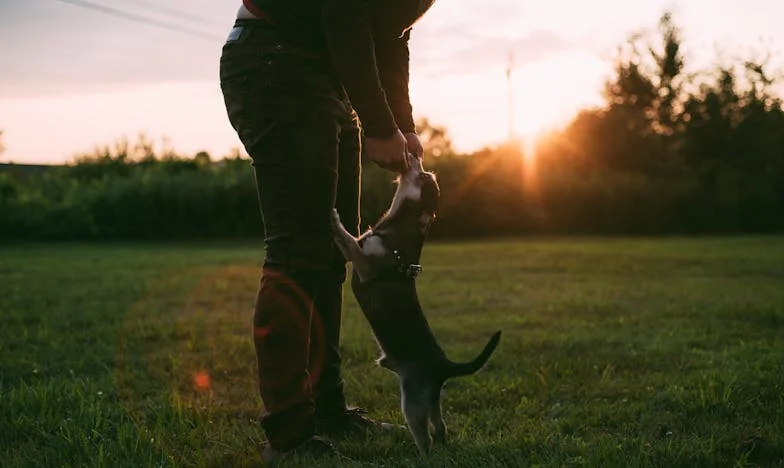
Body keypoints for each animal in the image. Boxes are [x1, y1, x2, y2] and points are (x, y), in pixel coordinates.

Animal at [330, 154, 502, 454]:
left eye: (423, 178)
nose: (414, 154)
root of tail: (444, 366)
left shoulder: (365, 265)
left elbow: (349, 241)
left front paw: (334, 219)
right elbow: (350, 241)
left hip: (412, 402)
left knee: (426, 437)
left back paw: (422, 453)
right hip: (430, 400)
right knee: (440, 426)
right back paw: (443, 443)